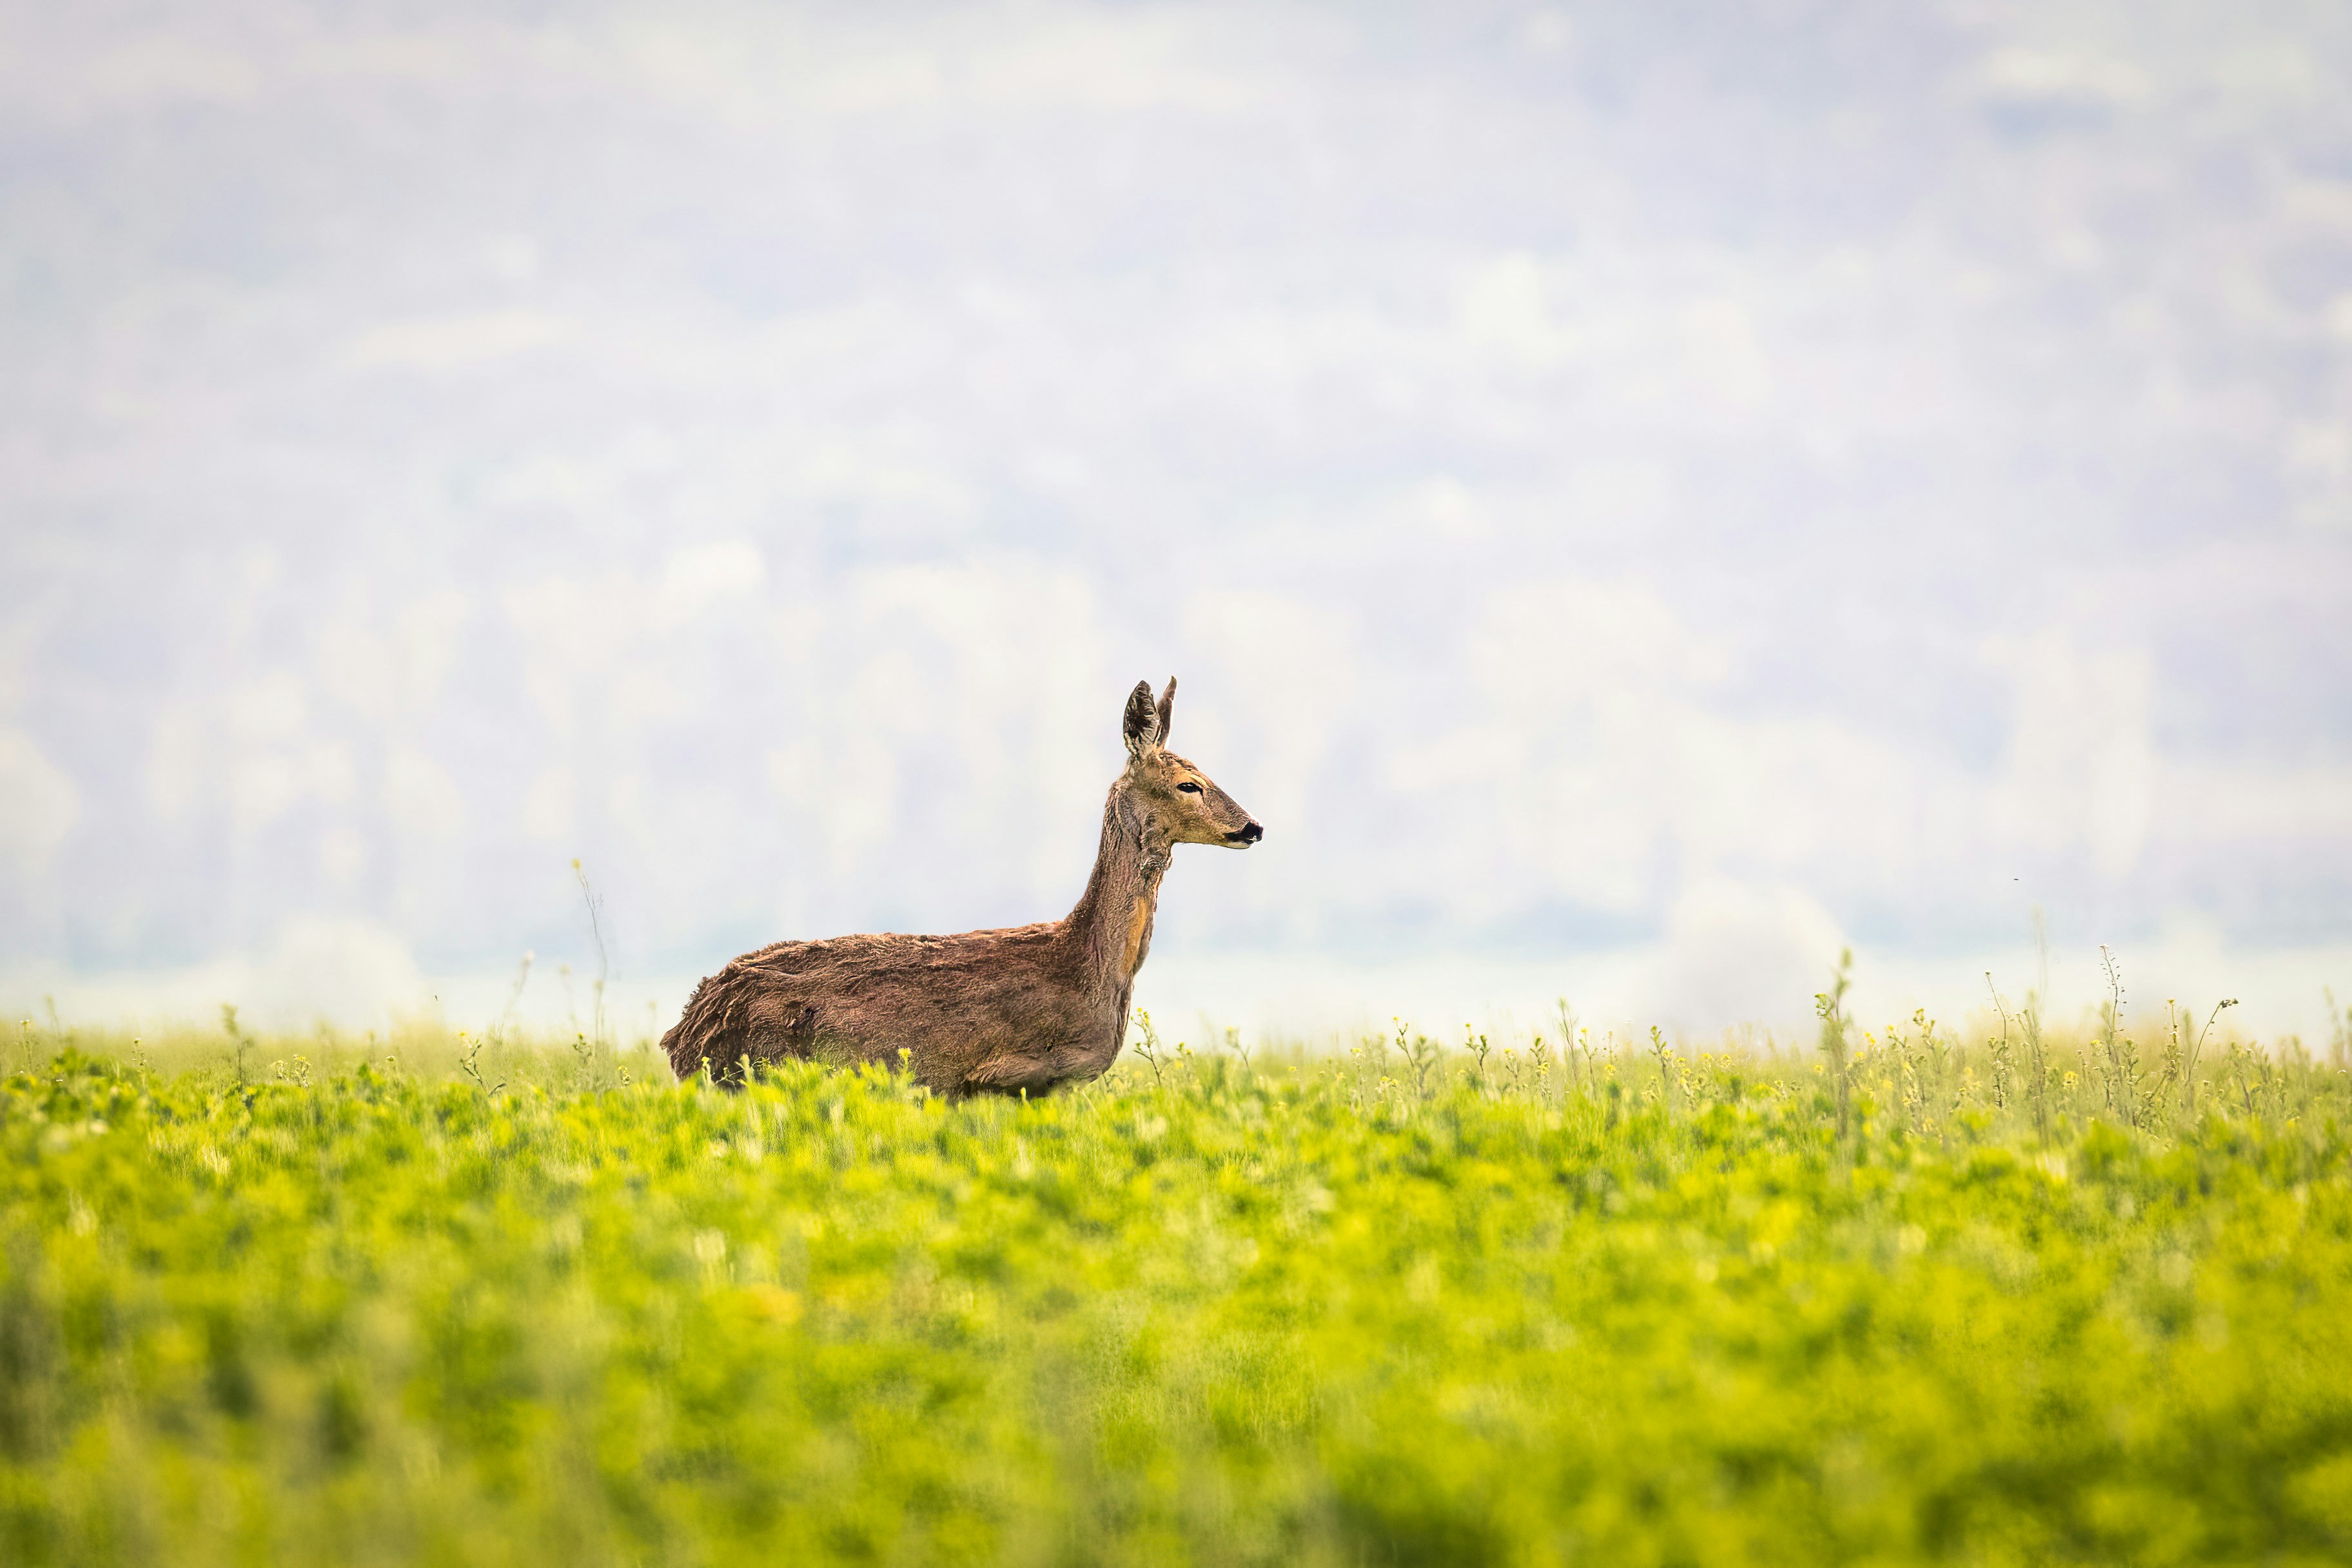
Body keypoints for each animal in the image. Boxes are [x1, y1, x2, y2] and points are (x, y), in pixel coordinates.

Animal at [661, 678, 1262, 1096]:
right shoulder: (1006, 1076)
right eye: (1188, 784)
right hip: (756, 1074)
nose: (1253, 827)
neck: (1089, 965)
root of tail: (685, 1034)